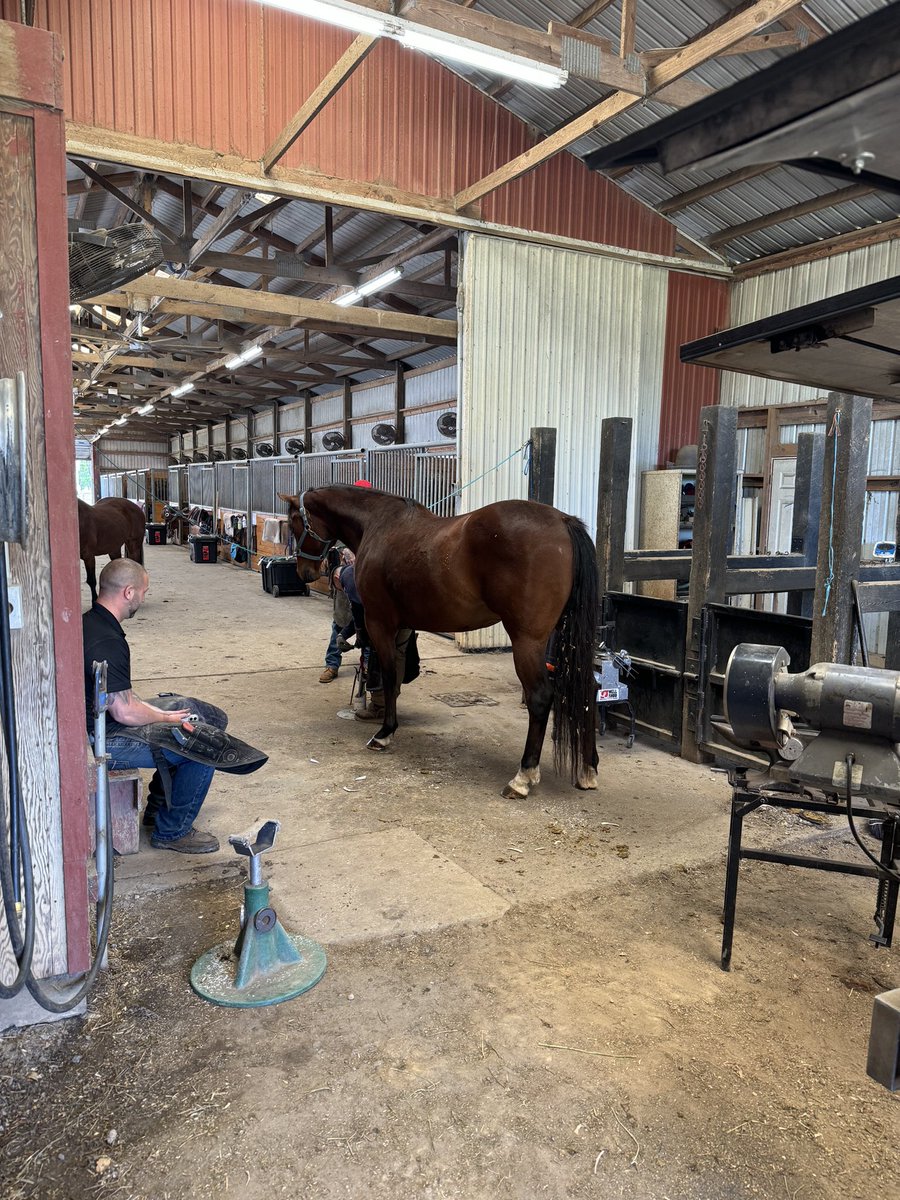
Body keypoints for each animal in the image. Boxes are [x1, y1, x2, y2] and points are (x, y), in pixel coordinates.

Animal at [285, 482, 602, 801]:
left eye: (294, 522)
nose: (304, 573)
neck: (378, 524)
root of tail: (563, 521)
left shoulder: (379, 623)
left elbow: (388, 675)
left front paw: (384, 734)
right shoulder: (402, 629)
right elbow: (396, 679)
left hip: (528, 640)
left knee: (540, 696)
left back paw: (523, 777)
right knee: (590, 688)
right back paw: (588, 769)